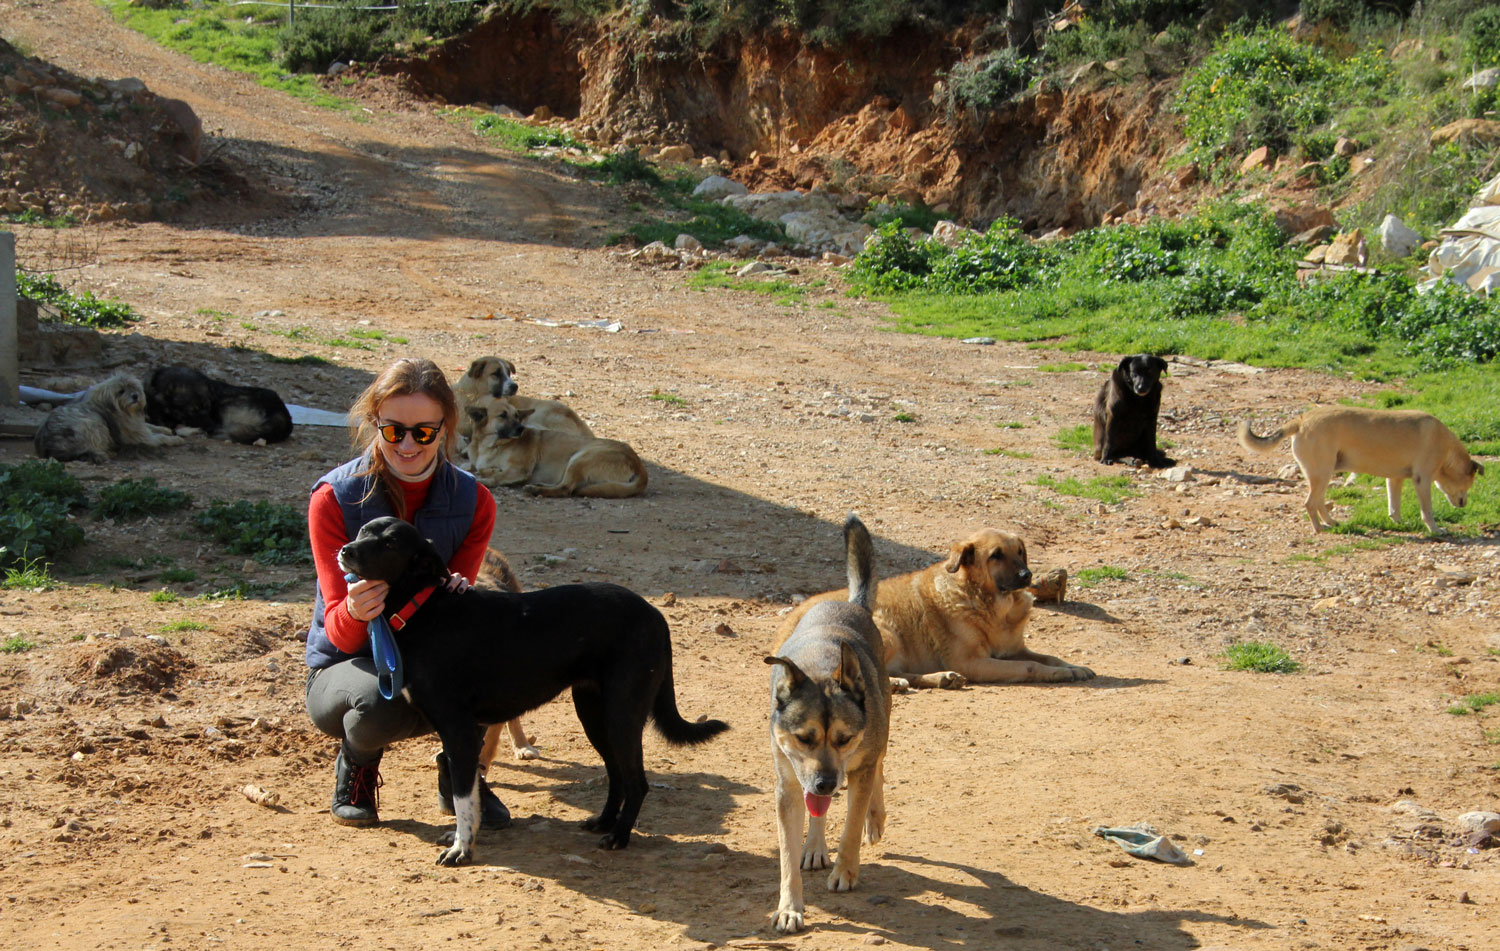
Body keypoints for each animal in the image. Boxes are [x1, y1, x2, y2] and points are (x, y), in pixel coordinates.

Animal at [345, 516, 732, 864]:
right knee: (616, 774)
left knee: (637, 781)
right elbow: (463, 791)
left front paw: (461, 849)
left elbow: (463, 798)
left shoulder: (459, 730)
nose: (346, 550)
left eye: (390, 543)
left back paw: (619, 837)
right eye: (363, 530)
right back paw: (604, 821)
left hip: (622, 714)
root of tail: (654, 613)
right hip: (593, 713)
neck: (423, 608)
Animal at [468, 396, 645, 495]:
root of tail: (638, 463)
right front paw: (489, 471)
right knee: (563, 484)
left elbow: (497, 476)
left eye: (517, 416)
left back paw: (537, 490)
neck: (493, 445)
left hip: (580, 458)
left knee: (566, 489)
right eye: (503, 415)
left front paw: (485, 480)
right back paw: (539, 485)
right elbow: (485, 469)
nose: (521, 428)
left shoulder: (520, 469)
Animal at [774, 525, 1092, 690]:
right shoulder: (973, 662)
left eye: (1020, 552)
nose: (1027, 576)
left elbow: (1048, 657)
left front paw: (1074, 668)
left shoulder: (1012, 649)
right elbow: (1029, 666)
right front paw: (1059, 674)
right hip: (887, 630)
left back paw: (940, 678)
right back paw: (899, 682)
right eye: (996, 555)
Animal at [1236, 405, 1482, 531]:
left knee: (1318, 502)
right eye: (1469, 483)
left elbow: (1394, 506)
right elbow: (1428, 511)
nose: (1464, 504)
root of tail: (1302, 419)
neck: (1447, 449)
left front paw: (1399, 523)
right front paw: (1435, 530)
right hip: (1322, 473)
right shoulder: (1422, 481)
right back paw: (1319, 528)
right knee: (1310, 503)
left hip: (1322, 473)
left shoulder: (1394, 480)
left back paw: (1331, 522)